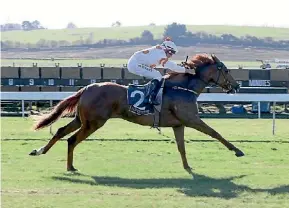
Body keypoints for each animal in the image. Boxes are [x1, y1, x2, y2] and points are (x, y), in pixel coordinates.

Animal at [29, 53, 243, 176]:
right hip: (94, 123)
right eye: (226, 70)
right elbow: (215, 133)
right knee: (72, 140)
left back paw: (39, 151)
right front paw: (238, 151)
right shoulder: (192, 120)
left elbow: (181, 147)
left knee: (60, 131)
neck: (183, 88)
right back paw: (70, 167)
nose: (236, 86)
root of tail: (87, 88)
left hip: (82, 120)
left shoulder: (179, 124)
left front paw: (187, 168)